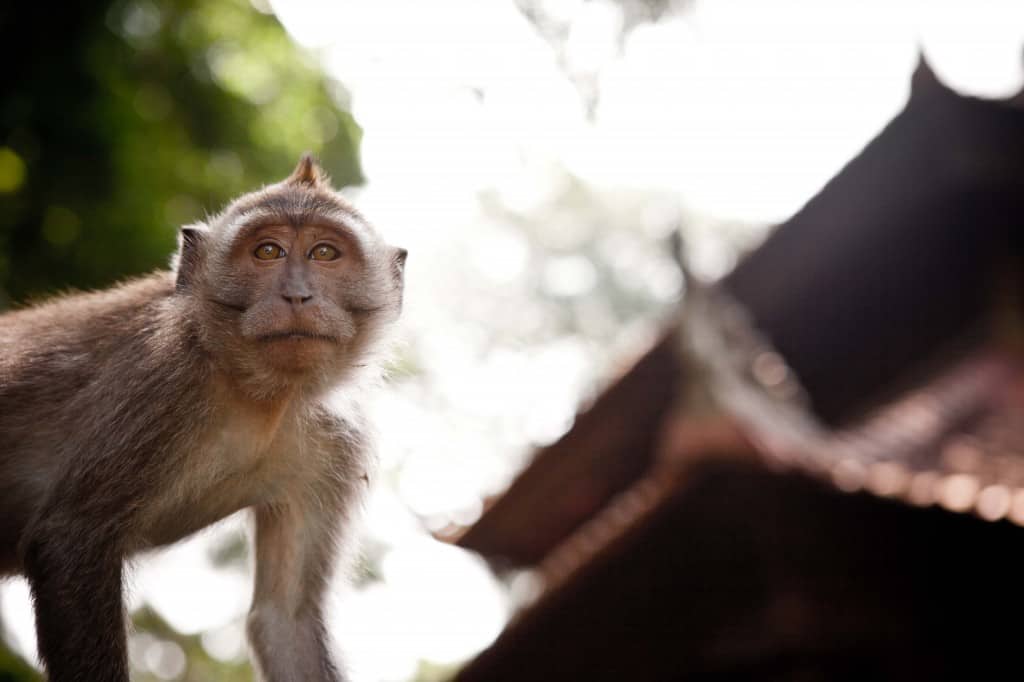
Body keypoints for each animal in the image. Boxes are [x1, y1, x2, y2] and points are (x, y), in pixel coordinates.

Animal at [0, 154, 406, 682]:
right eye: (268, 251)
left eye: (324, 253)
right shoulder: (166, 380)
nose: (297, 295)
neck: (261, 396)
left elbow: (284, 620)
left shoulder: (338, 447)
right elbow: (69, 538)